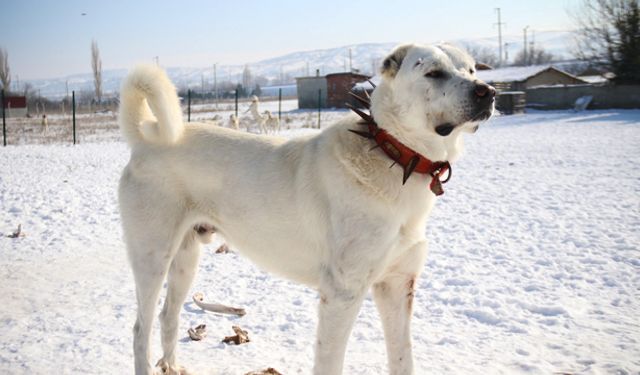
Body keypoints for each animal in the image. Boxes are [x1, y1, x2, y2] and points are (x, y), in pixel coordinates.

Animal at [119, 42, 496, 374]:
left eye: (471, 69)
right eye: (433, 72)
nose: (488, 91)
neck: (393, 153)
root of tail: (146, 139)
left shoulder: (397, 285)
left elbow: (403, 358)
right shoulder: (342, 294)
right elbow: (330, 363)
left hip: (186, 259)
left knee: (169, 316)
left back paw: (172, 366)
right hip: (152, 258)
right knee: (140, 330)